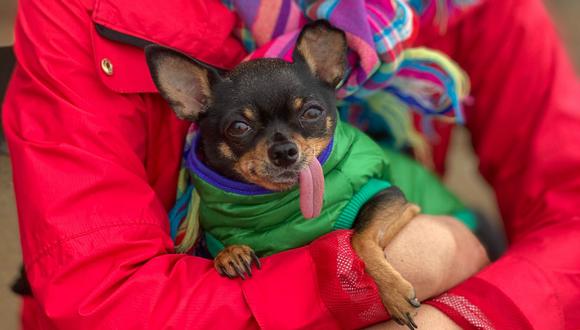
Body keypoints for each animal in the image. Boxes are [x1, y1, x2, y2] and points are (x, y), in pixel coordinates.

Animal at [147, 20, 422, 328]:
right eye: (239, 127)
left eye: (312, 113)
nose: (283, 151)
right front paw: (230, 253)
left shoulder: (392, 197)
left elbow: (358, 236)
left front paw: (393, 292)